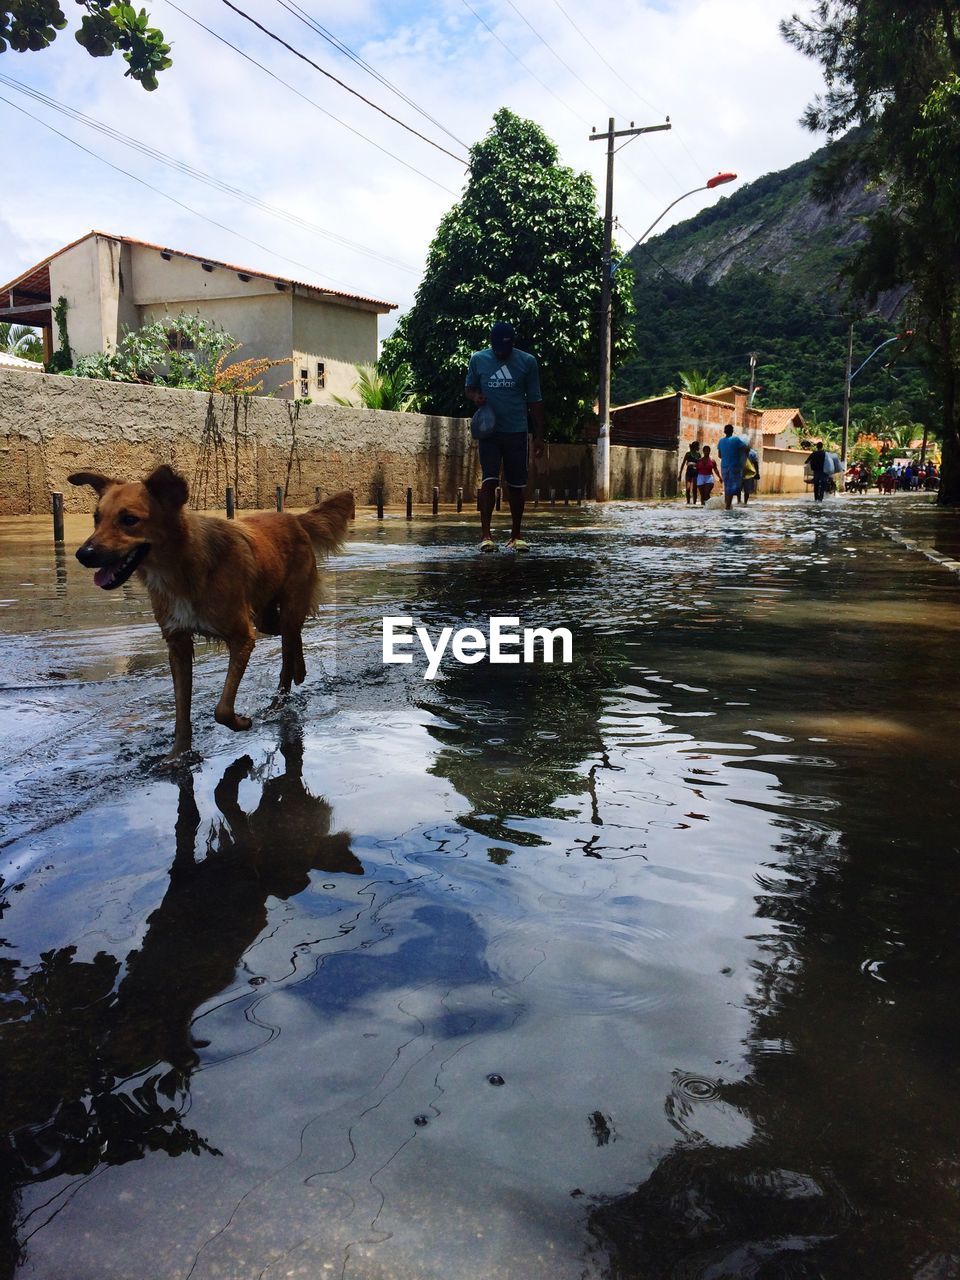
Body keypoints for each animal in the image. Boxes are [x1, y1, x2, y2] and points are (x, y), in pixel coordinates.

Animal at [68, 468, 353, 757]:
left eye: (129, 520)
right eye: (96, 518)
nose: (83, 554)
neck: (181, 570)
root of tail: (294, 518)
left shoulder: (242, 637)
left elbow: (222, 709)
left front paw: (241, 722)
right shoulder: (178, 643)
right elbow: (181, 711)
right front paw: (179, 755)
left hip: (287, 607)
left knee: (288, 649)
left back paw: (280, 699)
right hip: (265, 616)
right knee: (292, 634)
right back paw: (299, 670)